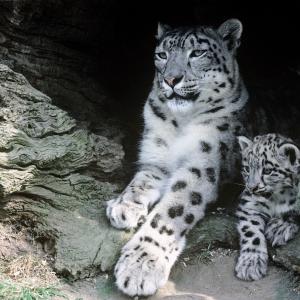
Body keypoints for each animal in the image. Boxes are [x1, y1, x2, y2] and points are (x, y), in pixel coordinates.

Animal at [106, 19, 248, 298]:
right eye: (162, 55)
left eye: (198, 53)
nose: (171, 79)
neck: (181, 120)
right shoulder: (156, 158)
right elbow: (139, 182)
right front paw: (123, 206)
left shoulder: (201, 167)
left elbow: (169, 215)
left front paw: (140, 264)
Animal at [236, 134, 298, 282]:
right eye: (247, 168)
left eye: (268, 170)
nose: (252, 188)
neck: (276, 197)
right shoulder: (250, 205)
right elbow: (251, 231)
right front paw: (250, 264)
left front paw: (278, 228)